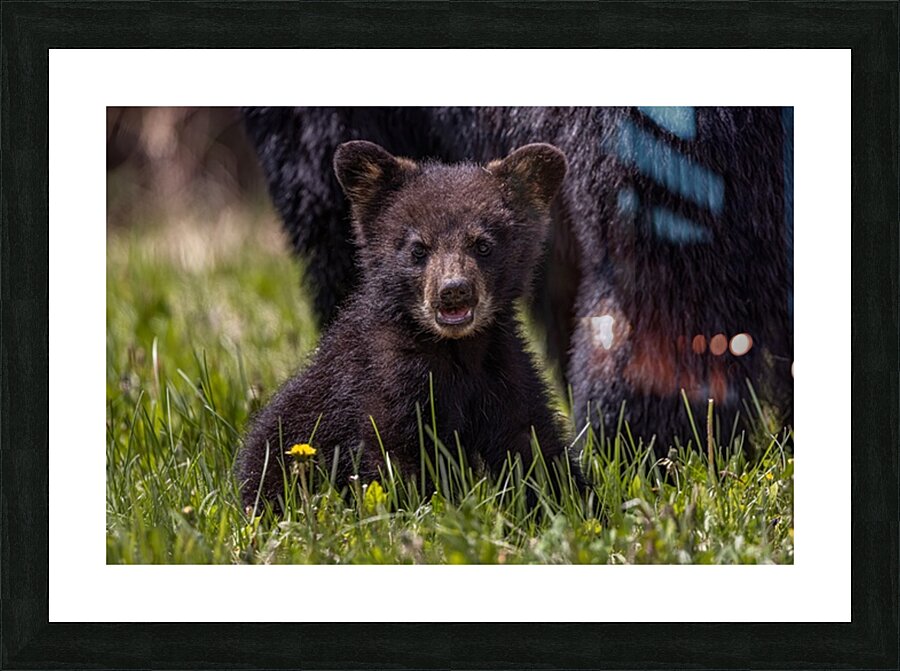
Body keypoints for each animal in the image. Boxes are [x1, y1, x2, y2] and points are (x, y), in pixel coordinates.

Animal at [235, 140, 580, 508]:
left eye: (483, 244)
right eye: (418, 248)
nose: (453, 290)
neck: (456, 349)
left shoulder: (504, 371)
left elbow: (535, 444)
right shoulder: (385, 383)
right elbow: (395, 459)